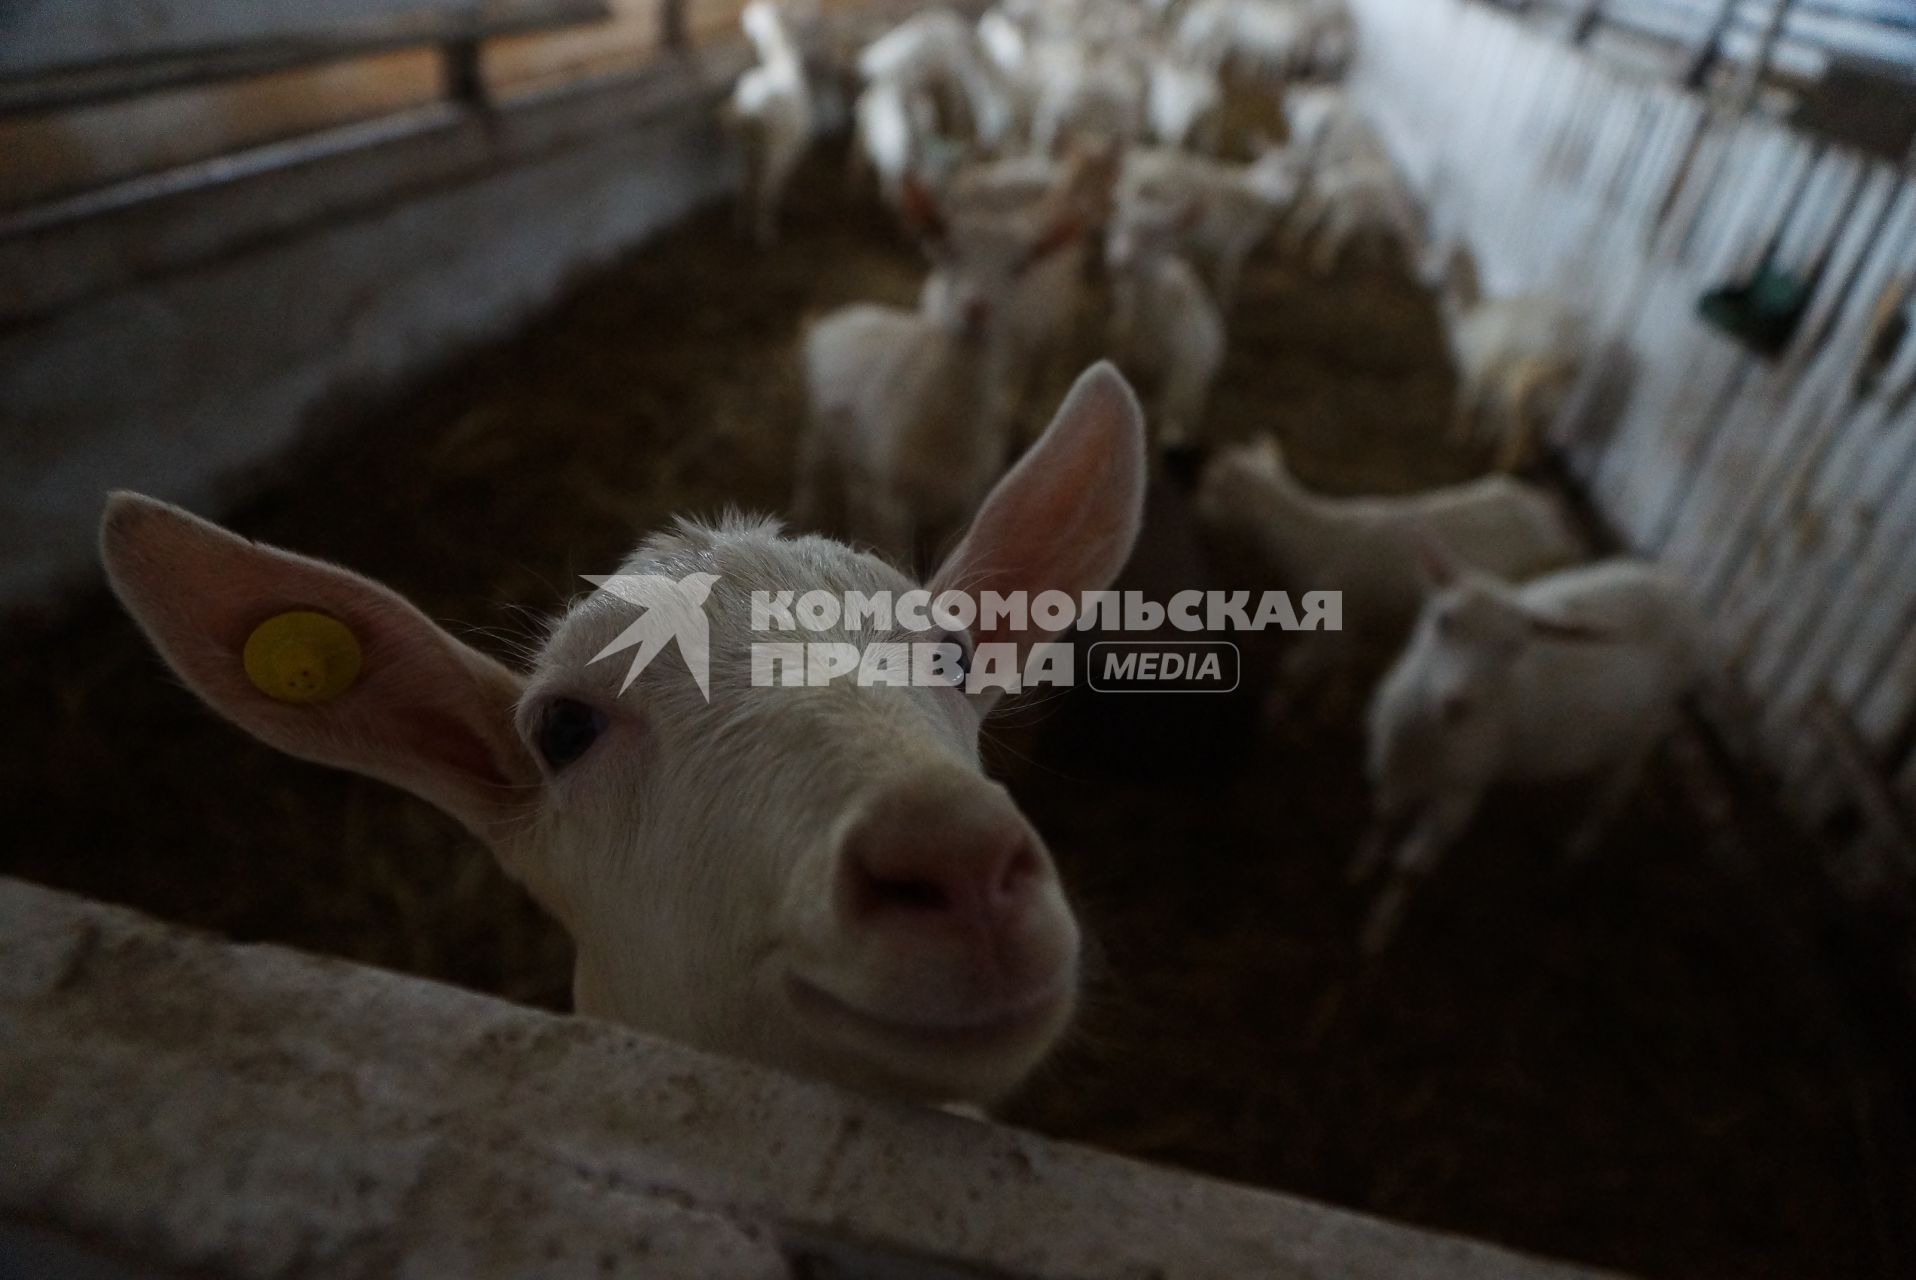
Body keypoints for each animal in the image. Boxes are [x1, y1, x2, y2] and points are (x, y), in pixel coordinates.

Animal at [1356, 555, 1701, 954]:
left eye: (1513, 648)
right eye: (1445, 620)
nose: (1457, 703)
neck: (1426, 735)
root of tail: (1674, 582)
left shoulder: (1460, 792)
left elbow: (1409, 869)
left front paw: (1377, 931)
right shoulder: (1390, 762)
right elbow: (1382, 815)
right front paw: (1361, 866)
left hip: (1644, 732)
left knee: (1610, 798)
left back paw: (1572, 856)